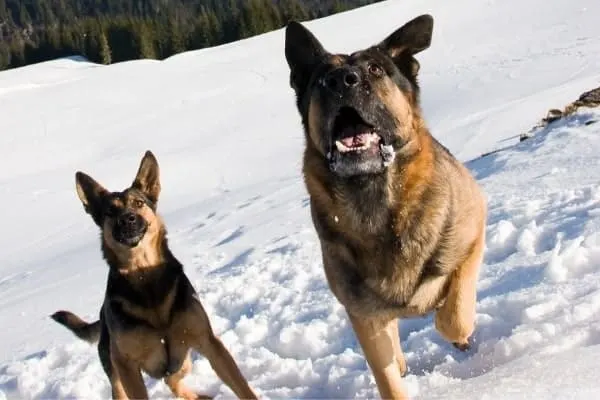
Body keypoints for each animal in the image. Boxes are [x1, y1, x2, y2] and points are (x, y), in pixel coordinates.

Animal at [51, 152, 255, 398]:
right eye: (110, 211)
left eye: (139, 203)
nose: (127, 219)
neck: (144, 277)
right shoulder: (126, 364)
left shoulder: (209, 342)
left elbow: (243, 387)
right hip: (116, 372)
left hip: (181, 362)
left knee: (171, 379)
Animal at [286, 14, 488, 398]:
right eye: (321, 79)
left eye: (375, 69)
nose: (340, 81)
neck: (376, 201)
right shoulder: (361, 312)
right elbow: (387, 375)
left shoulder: (473, 232)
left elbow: (453, 317)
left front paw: (457, 330)